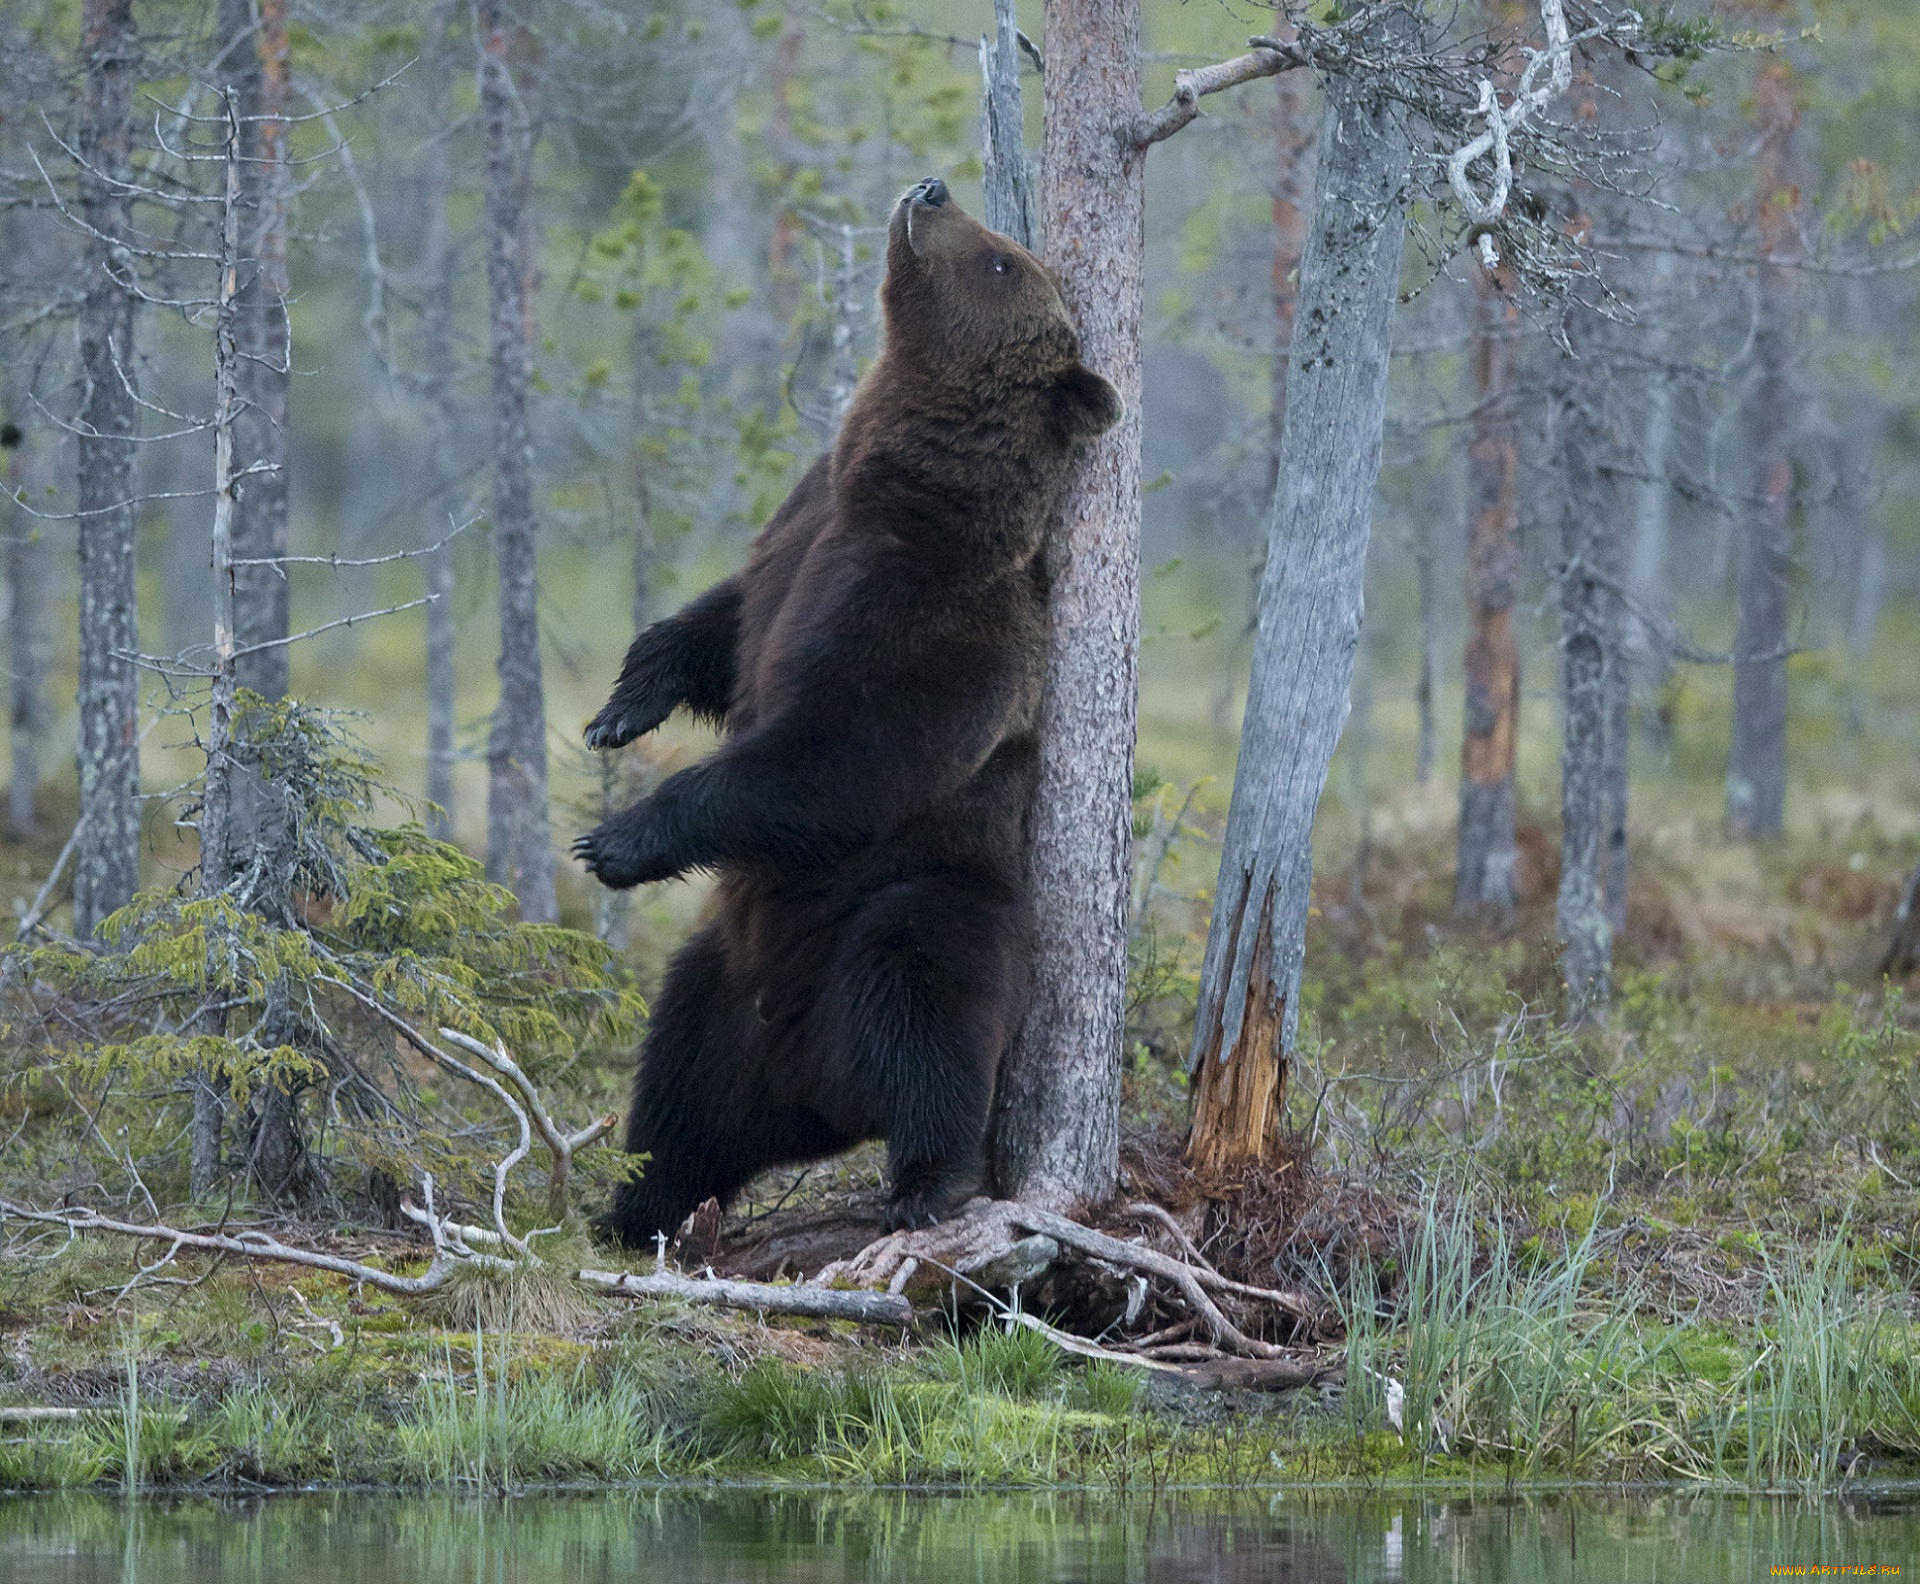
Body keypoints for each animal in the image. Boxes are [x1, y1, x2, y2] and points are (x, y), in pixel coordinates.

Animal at [568, 179, 1121, 1244]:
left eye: (1000, 258)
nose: (930, 189)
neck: (898, 485)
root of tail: (809, 1089)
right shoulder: (799, 535)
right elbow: (718, 627)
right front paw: (621, 710)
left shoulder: (938, 622)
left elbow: (839, 758)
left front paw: (616, 839)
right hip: (718, 988)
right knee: (676, 1091)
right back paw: (630, 1209)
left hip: (918, 906)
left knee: (924, 1008)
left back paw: (927, 1182)